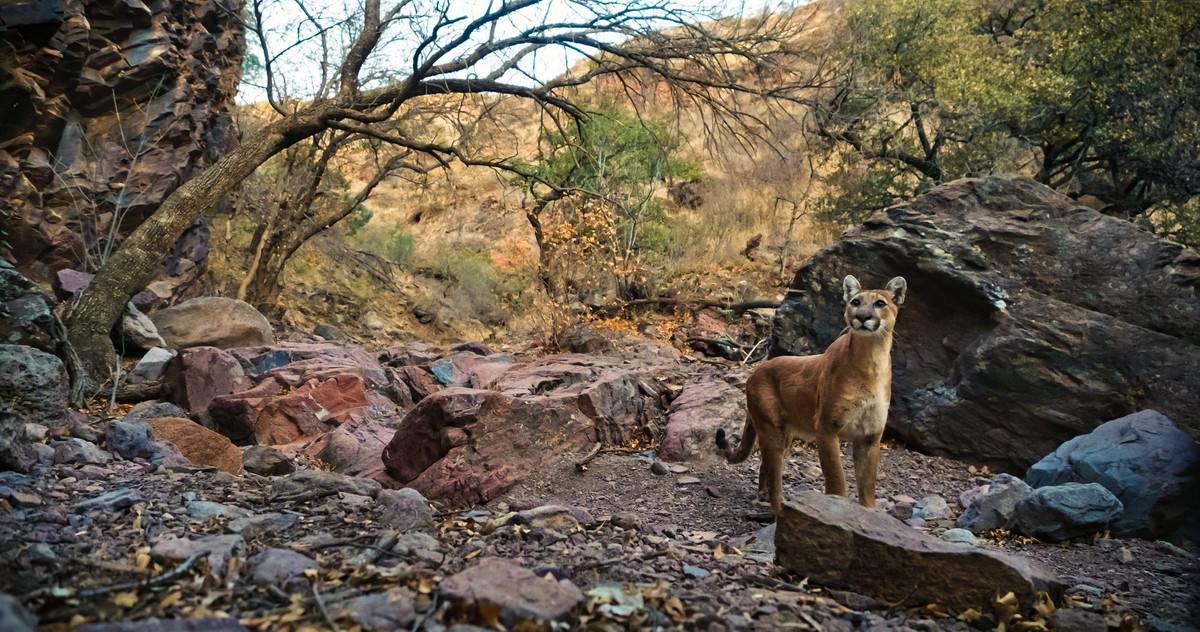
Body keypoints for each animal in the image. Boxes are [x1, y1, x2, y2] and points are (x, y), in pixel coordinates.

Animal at [715, 275, 902, 513]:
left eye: (880, 303)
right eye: (856, 302)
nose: (861, 316)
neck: (872, 359)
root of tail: (755, 371)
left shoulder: (870, 435)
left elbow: (868, 483)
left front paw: (868, 513)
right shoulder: (826, 428)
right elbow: (836, 477)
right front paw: (836, 507)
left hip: (785, 436)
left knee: (766, 465)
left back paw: (764, 495)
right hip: (771, 429)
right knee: (775, 474)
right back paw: (779, 509)